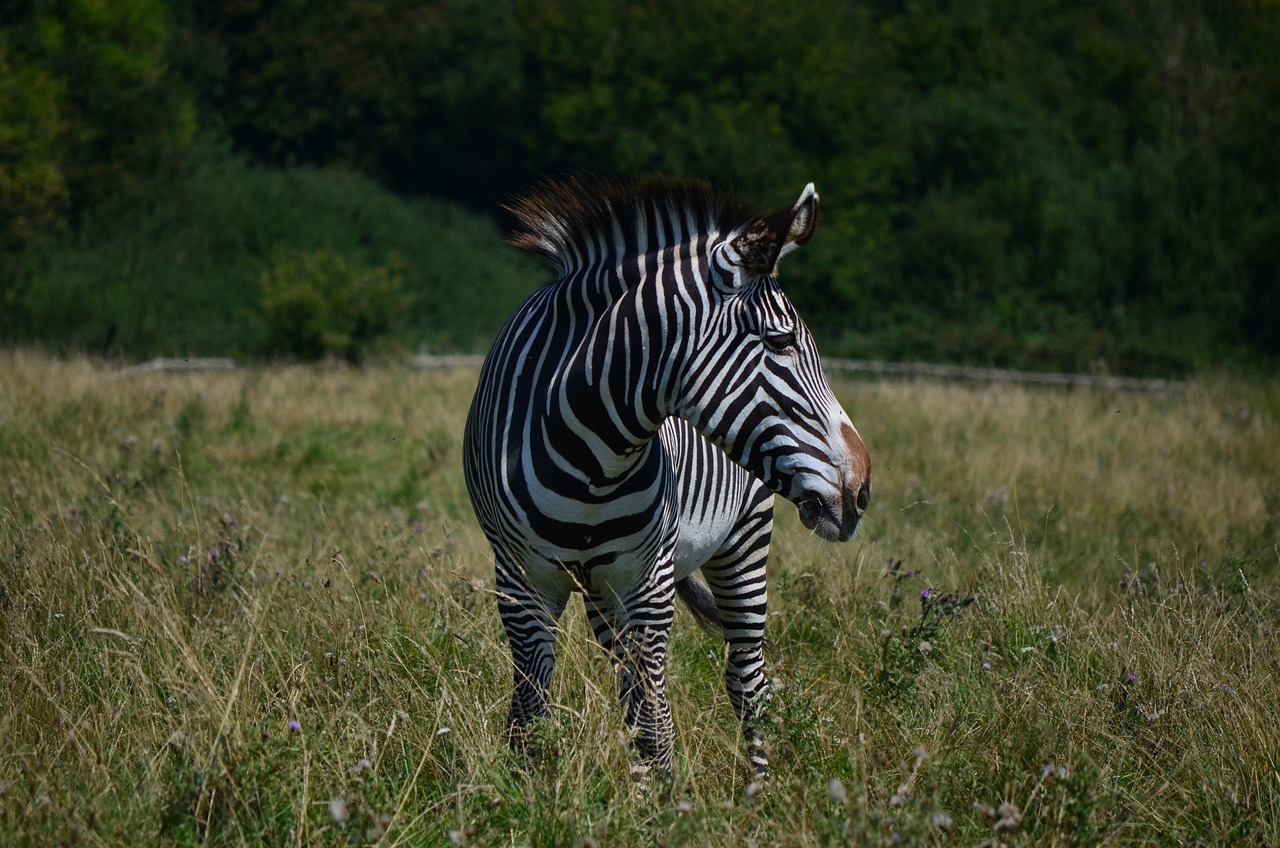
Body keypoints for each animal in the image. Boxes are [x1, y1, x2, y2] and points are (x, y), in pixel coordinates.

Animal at [460, 175, 870, 778]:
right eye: (780, 343)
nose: (862, 490)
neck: (590, 457)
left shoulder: (649, 583)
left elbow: (656, 728)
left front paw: (665, 799)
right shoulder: (520, 583)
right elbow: (530, 717)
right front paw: (526, 794)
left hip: (743, 538)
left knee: (745, 681)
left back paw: (760, 789)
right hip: (602, 589)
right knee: (632, 687)